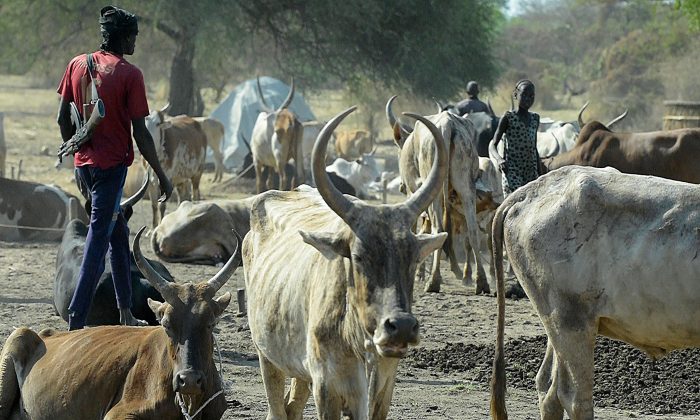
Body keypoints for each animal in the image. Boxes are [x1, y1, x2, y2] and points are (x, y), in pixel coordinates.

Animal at [243, 108, 446, 420]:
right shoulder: (328, 388)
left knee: (292, 406)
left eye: (412, 257)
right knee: (278, 408)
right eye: (358, 256)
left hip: (300, 370)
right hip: (267, 357)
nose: (400, 326)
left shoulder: (384, 386)